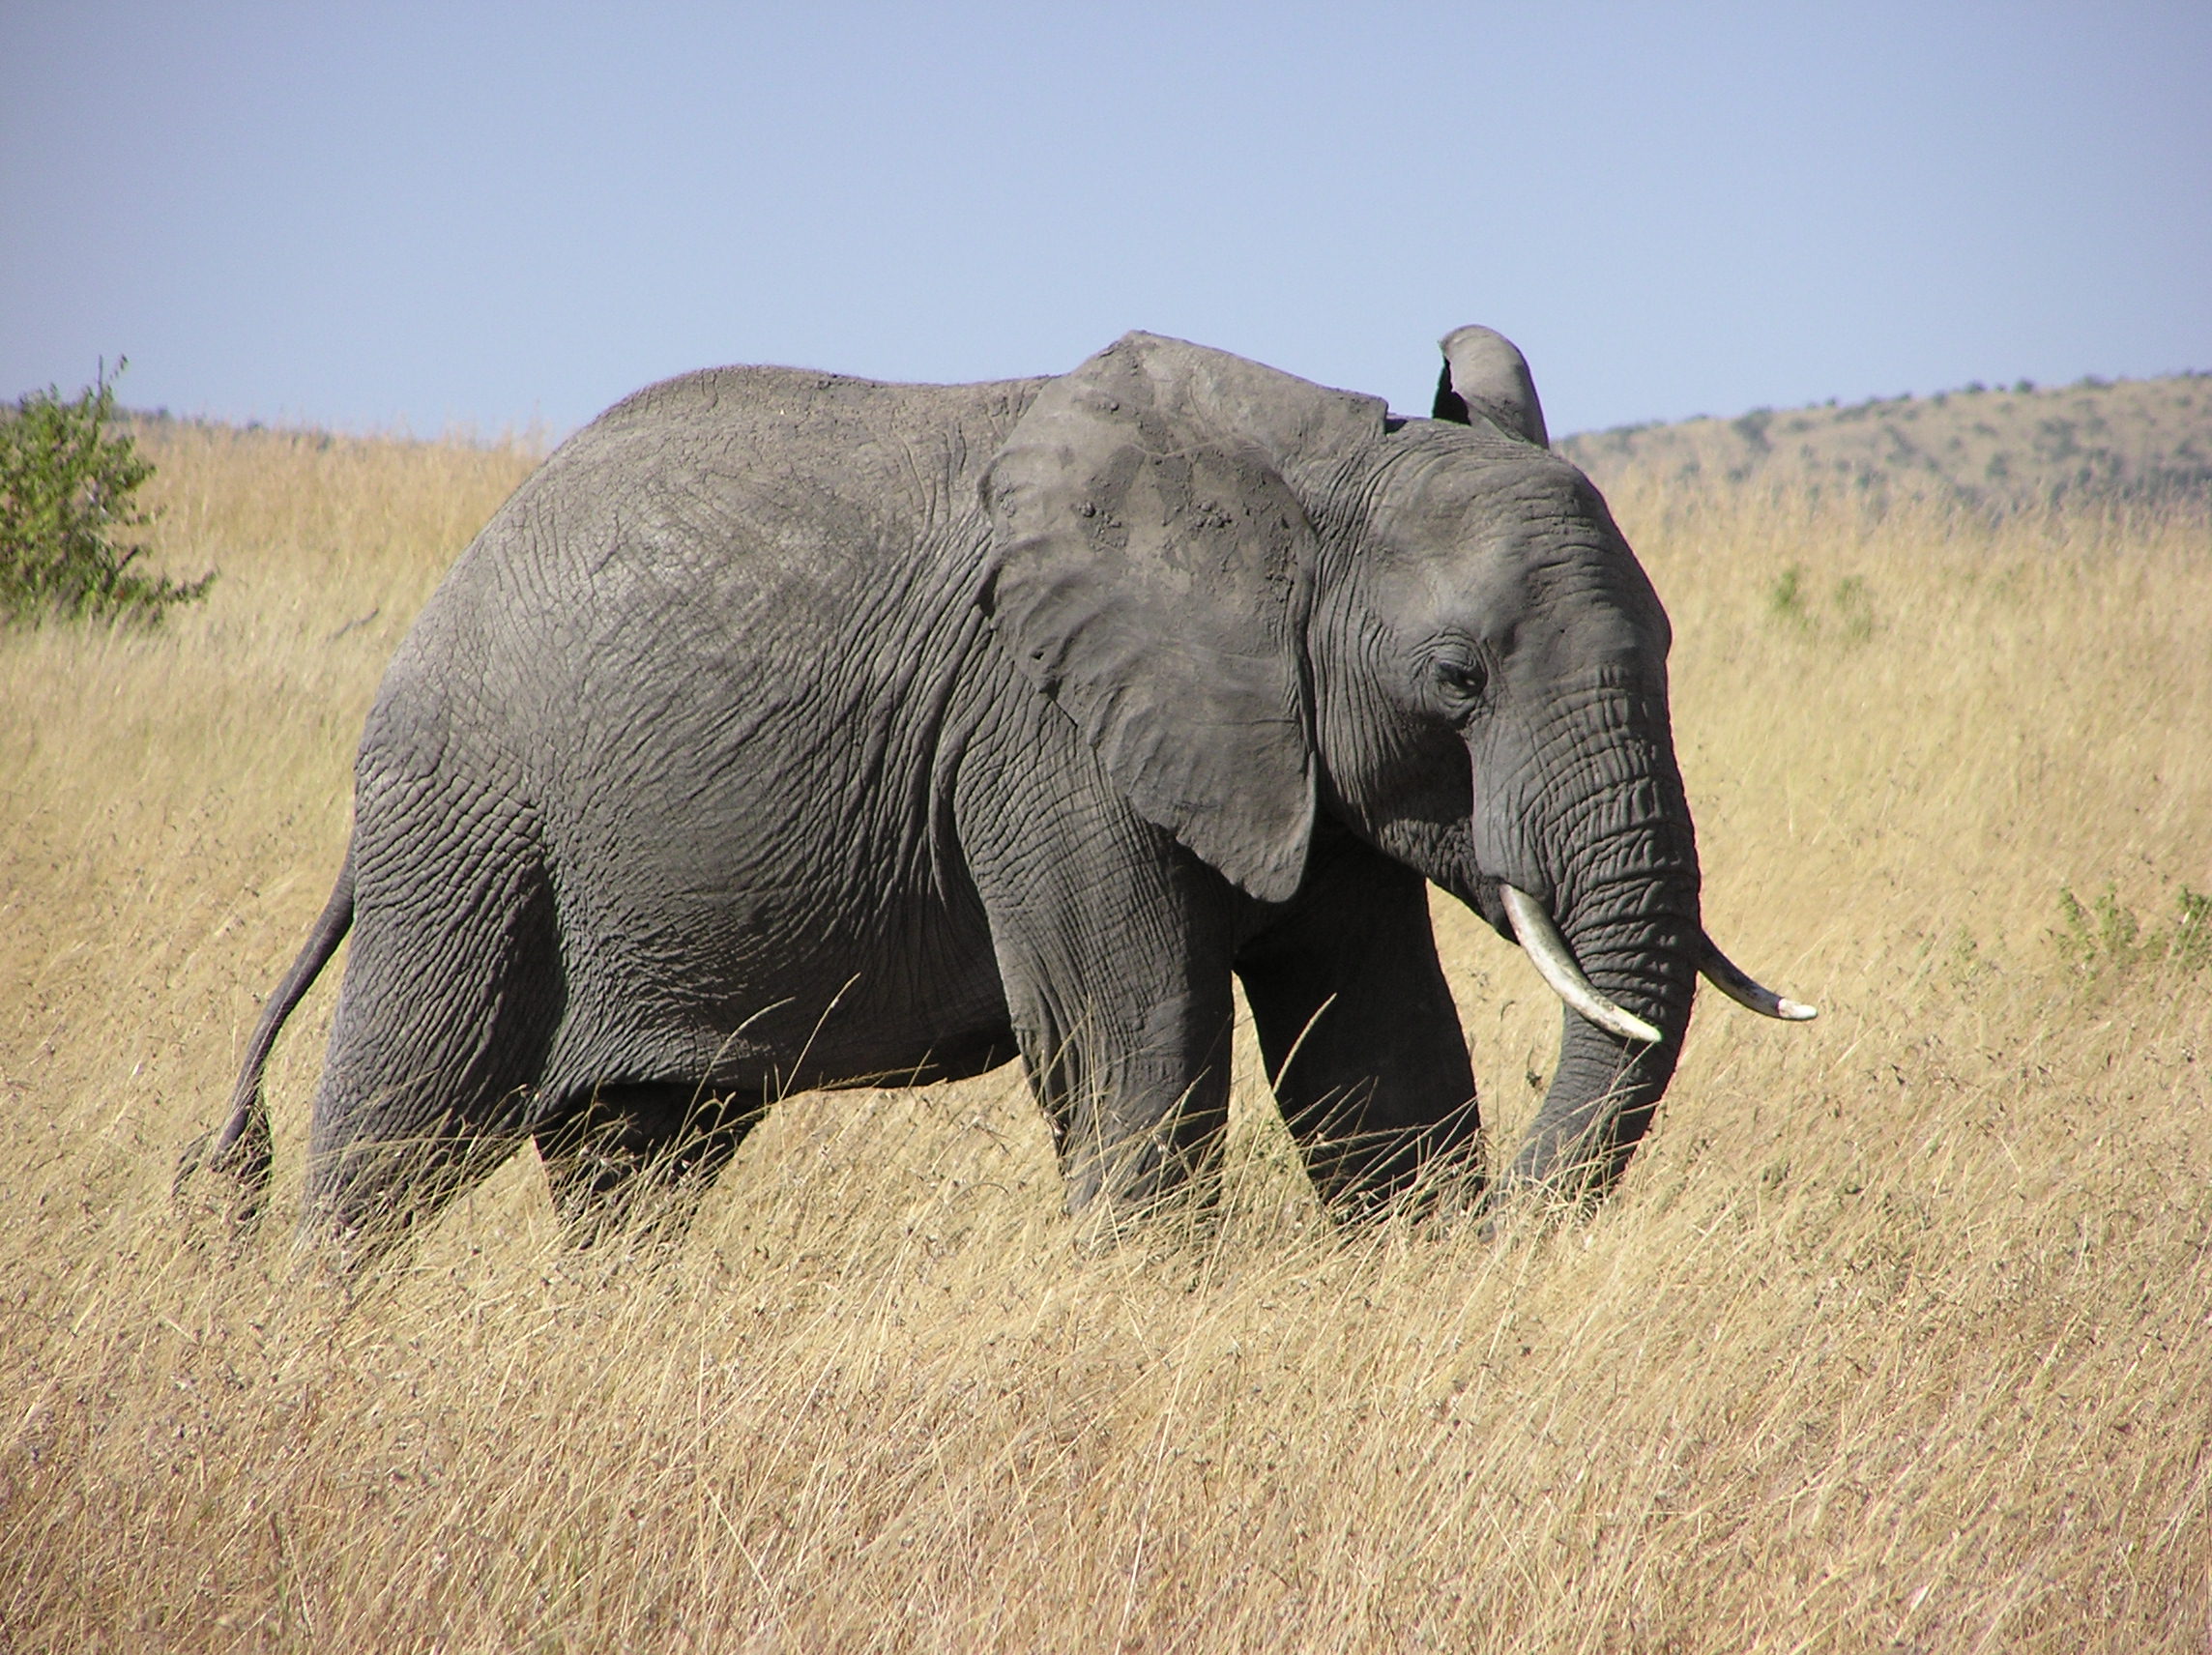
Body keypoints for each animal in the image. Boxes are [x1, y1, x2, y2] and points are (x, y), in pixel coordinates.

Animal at [181, 320, 1814, 1257]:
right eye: (1460, 676)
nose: (1518, 1243)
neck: (1307, 480)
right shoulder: (1047, 736)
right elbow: (1134, 1052)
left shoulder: (1289, 746)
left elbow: (1381, 1061)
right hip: (473, 825)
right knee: (403, 1124)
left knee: (637, 1160)